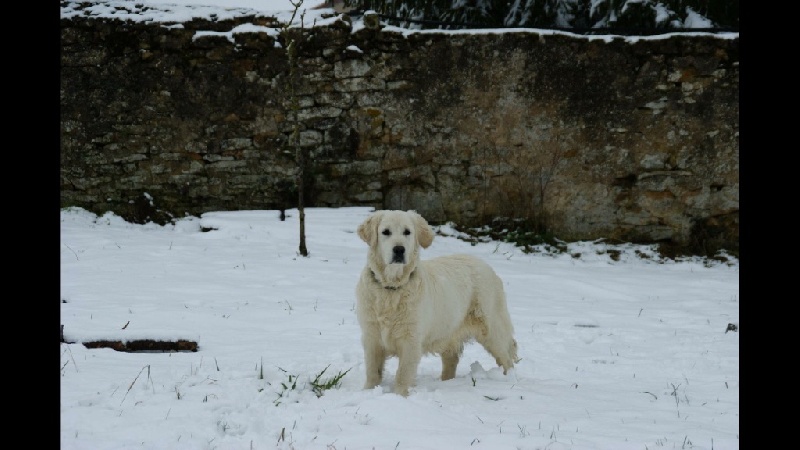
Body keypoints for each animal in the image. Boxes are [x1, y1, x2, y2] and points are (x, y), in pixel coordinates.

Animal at [356, 209, 520, 396]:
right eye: (385, 232)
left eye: (407, 232)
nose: (399, 249)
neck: (391, 288)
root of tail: (487, 266)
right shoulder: (371, 336)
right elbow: (372, 371)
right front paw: (368, 391)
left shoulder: (410, 339)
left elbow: (403, 373)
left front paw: (399, 396)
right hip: (449, 330)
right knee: (452, 359)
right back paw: (447, 382)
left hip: (492, 328)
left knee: (506, 358)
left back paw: (509, 381)